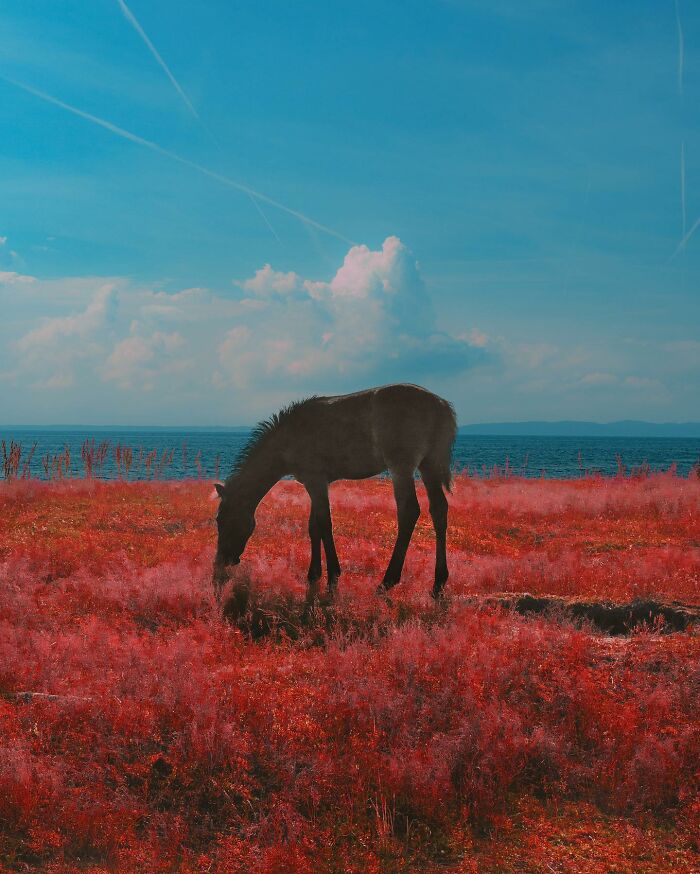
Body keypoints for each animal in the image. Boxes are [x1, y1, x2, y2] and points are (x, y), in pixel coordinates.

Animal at [212, 383, 457, 602]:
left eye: (222, 520)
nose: (222, 562)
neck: (289, 436)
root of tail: (442, 406)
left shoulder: (316, 481)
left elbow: (325, 524)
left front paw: (332, 578)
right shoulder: (315, 483)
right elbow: (314, 527)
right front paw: (313, 574)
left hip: (401, 467)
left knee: (409, 512)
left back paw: (387, 581)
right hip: (429, 465)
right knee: (439, 510)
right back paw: (438, 583)